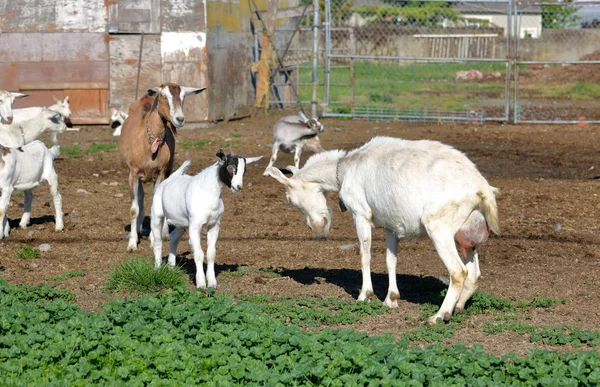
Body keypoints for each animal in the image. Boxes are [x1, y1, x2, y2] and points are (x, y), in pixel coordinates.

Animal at [117, 82, 206, 252]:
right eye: (164, 96)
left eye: (183, 96)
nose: (180, 119)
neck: (150, 141)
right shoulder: (133, 173)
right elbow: (134, 209)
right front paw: (132, 244)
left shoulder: (160, 173)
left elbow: (156, 206)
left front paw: (154, 240)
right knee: (140, 198)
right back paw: (136, 230)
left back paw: (162, 233)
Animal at [149, 150, 260, 290]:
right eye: (230, 168)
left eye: (244, 171)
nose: (238, 187)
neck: (207, 193)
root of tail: (171, 178)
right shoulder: (195, 225)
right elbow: (199, 254)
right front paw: (201, 284)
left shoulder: (214, 225)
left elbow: (211, 253)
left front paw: (212, 283)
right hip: (157, 214)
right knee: (158, 241)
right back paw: (157, 269)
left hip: (181, 222)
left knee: (174, 237)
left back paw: (171, 266)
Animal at [270, 136, 500, 324]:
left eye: (290, 200)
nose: (316, 228)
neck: (345, 170)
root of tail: (482, 187)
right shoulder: (392, 225)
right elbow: (391, 260)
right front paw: (391, 299)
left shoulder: (361, 214)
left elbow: (365, 255)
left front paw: (364, 295)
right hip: (467, 232)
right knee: (474, 273)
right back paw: (457, 308)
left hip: (439, 228)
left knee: (458, 272)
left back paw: (438, 316)